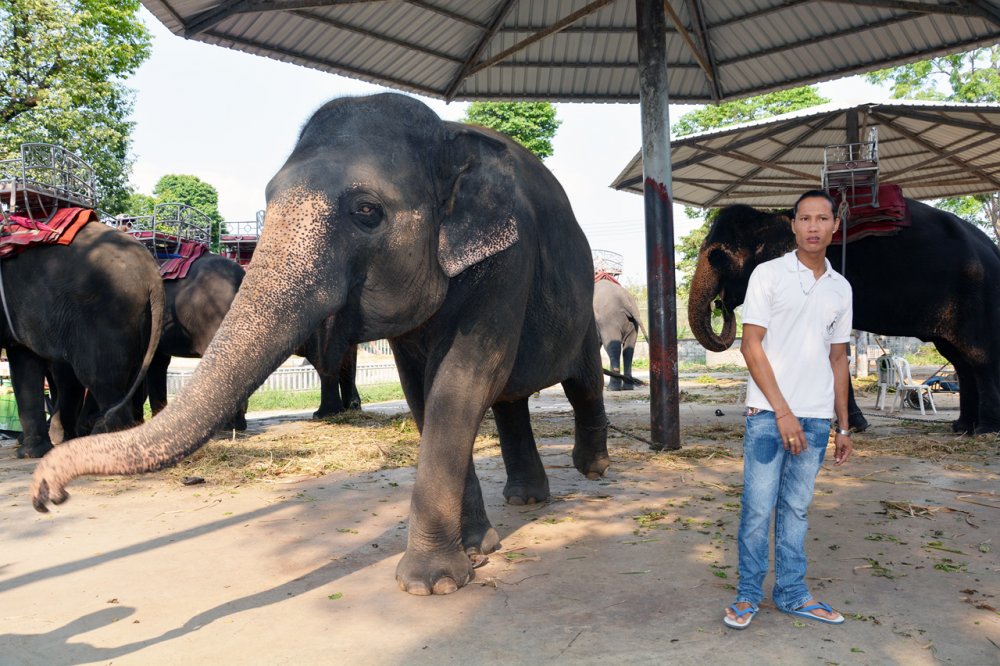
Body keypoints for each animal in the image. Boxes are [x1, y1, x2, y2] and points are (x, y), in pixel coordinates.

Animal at [2, 218, 162, 456]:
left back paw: (102, 437)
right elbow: (24, 363)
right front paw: (33, 452)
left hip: (105, 313)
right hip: (139, 321)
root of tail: (153, 275)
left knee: (98, 377)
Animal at [33, 91, 608, 592]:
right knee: (511, 400)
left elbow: (463, 381)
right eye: (268, 198)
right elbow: (422, 393)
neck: (447, 137)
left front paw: (431, 584)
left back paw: (593, 467)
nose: (45, 496)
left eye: (367, 211)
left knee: (582, 382)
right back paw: (527, 500)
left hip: (584, 308)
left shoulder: (509, 261)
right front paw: (475, 550)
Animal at [692, 200, 1000, 434]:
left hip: (975, 293)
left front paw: (851, 426)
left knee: (979, 357)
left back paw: (984, 430)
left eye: (718, 256)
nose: (721, 304)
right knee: (960, 359)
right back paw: (962, 427)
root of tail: (992, 247)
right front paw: (854, 425)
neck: (776, 216)